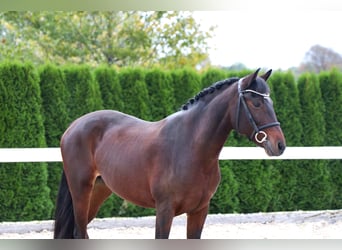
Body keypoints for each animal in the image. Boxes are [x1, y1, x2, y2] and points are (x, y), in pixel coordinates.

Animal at [53, 68, 286, 238]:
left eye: (271, 102)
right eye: (256, 103)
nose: (279, 145)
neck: (191, 148)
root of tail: (73, 126)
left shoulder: (199, 211)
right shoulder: (165, 211)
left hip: (98, 190)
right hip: (81, 191)